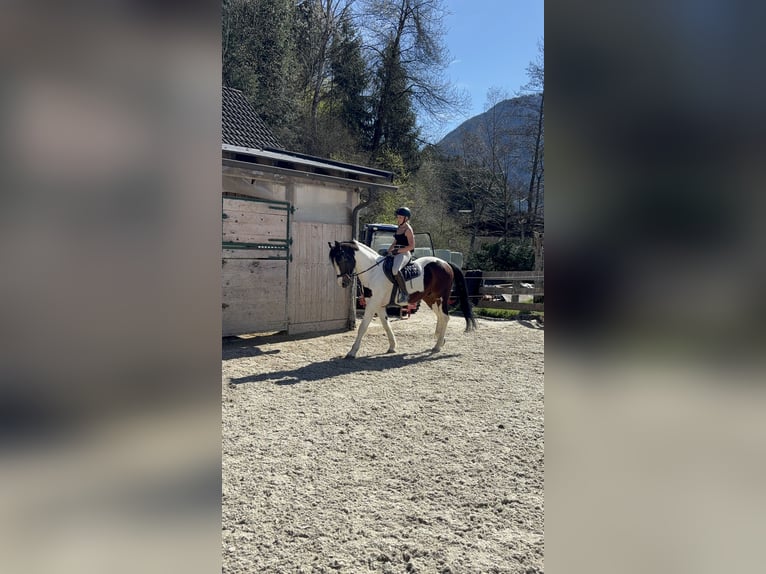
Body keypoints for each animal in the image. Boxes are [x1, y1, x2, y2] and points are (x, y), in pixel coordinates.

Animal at [328, 240, 477, 359]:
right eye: (333, 263)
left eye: (342, 259)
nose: (343, 282)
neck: (373, 272)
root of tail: (445, 263)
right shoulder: (378, 305)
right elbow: (386, 324)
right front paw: (392, 347)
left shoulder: (372, 304)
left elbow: (363, 327)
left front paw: (352, 352)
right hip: (431, 299)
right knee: (440, 317)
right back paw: (440, 339)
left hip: (441, 298)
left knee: (445, 317)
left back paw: (437, 346)